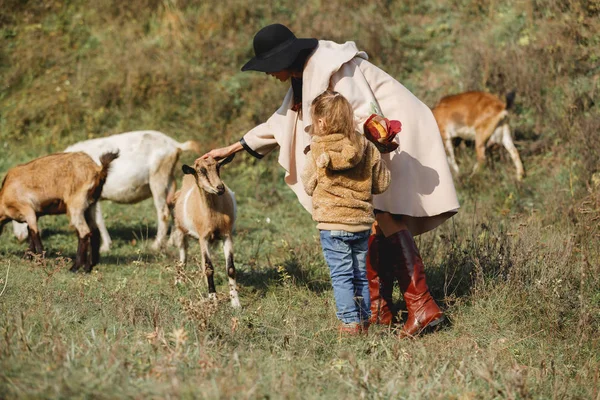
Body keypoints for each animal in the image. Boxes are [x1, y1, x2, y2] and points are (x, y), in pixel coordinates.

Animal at [11, 130, 203, 252]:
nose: (19, 238)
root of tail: (174, 145)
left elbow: (97, 221)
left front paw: (104, 247)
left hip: (158, 178)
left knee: (162, 212)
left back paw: (156, 245)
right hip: (169, 180)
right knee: (173, 205)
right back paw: (172, 242)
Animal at [170, 155, 240, 308]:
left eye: (218, 166)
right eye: (201, 170)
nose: (220, 187)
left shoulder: (226, 235)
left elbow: (230, 268)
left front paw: (236, 303)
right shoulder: (204, 238)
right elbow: (209, 268)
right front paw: (213, 298)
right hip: (180, 230)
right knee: (183, 255)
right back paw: (179, 282)